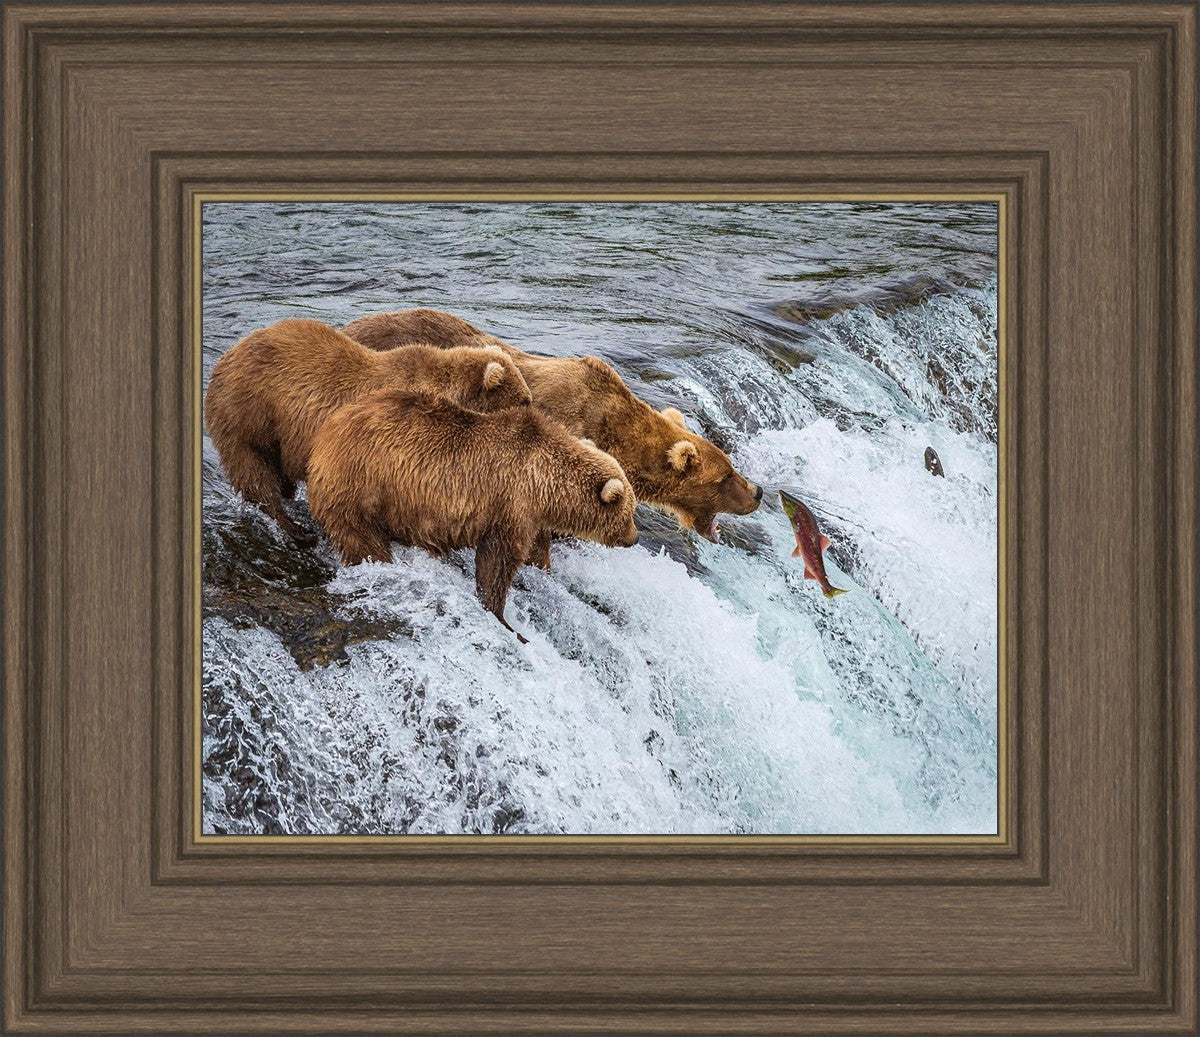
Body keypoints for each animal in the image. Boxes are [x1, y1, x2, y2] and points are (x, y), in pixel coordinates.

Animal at [204, 317, 532, 544]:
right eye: (524, 400)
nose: (533, 412)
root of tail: (226, 356)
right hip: (249, 413)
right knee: (254, 471)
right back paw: (294, 528)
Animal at [306, 388, 640, 641]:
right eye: (629, 512)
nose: (634, 538)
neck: (545, 483)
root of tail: (324, 434)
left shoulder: (532, 516)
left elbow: (535, 550)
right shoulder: (510, 503)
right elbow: (498, 561)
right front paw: (503, 617)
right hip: (361, 485)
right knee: (361, 539)